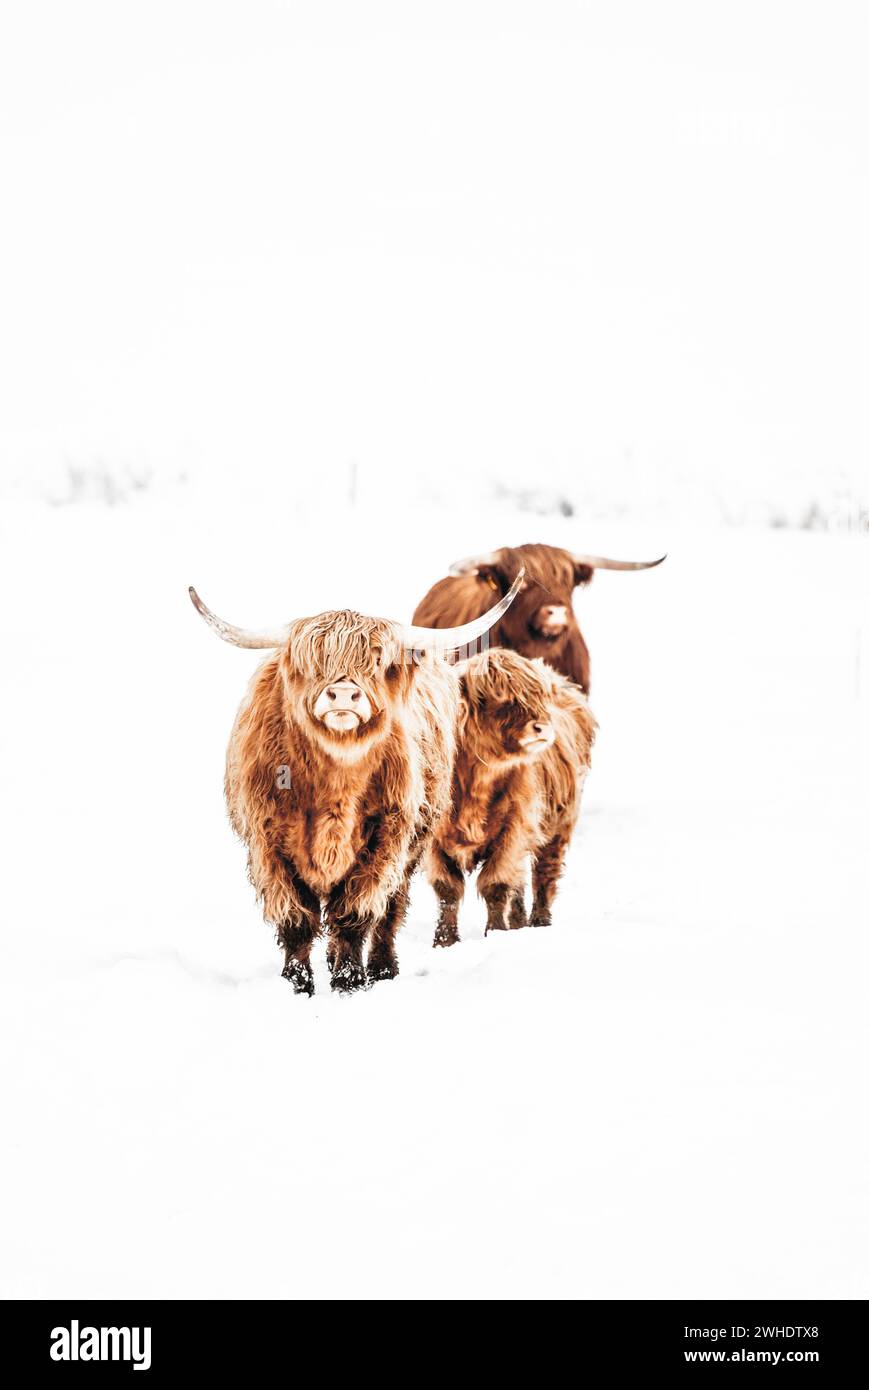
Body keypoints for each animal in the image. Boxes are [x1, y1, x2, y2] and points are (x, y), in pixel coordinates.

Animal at [187, 569, 522, 995]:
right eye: (315, 661)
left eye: (377, 661)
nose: (344, 694)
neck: (336, 783)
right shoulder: (268, 843)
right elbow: (296, 920)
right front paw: (298, 985)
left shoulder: (385, 839)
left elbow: (355, 913)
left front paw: (349, 981)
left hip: (412, 847)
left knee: (390, 911)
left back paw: (382, 969)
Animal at [422, 650, 595, 945]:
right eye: (501, 699)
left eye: (538, 697)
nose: (542, 727)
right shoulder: (434, 837)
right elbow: (447, 889)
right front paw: (444, 940)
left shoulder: (514, 828)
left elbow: (496, 884)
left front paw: (495, 932)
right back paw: (518, 922)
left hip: (558, 825)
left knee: (544, 875)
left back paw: (539, 922)